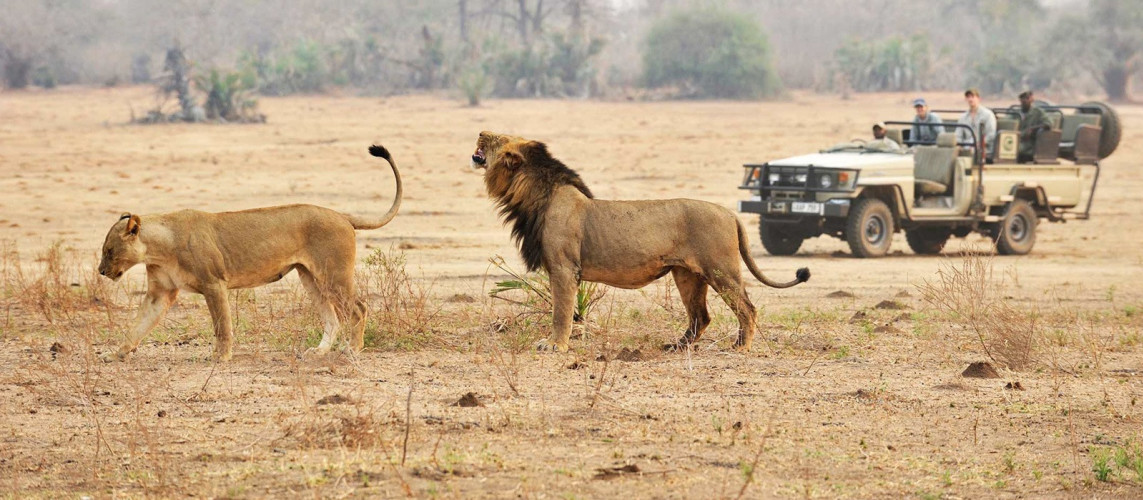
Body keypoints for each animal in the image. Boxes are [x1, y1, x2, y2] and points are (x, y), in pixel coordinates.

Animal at [97, 145, 402, 362]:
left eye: (109, 250)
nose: (101, 271)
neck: (158, 249)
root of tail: (341, 215)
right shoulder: (160, 293)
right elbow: (139, 324)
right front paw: (117, 352)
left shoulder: (214, 283)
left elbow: (222, 325)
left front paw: (221, 357)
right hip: (310, 277)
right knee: (331, 316)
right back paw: (319, 351)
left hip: (333, 273)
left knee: (359, 308)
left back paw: (352, 350)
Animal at [471, 131, 810, 352]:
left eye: (497, 138)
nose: (481, 131)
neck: (533, 194)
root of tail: (730, 213)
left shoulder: (564, 269)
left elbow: (561, 311)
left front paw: (555, 345)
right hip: (688, 275)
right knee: (701, 316)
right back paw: (677, 346)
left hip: (720, 270)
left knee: (747, 308)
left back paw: (740, 347)